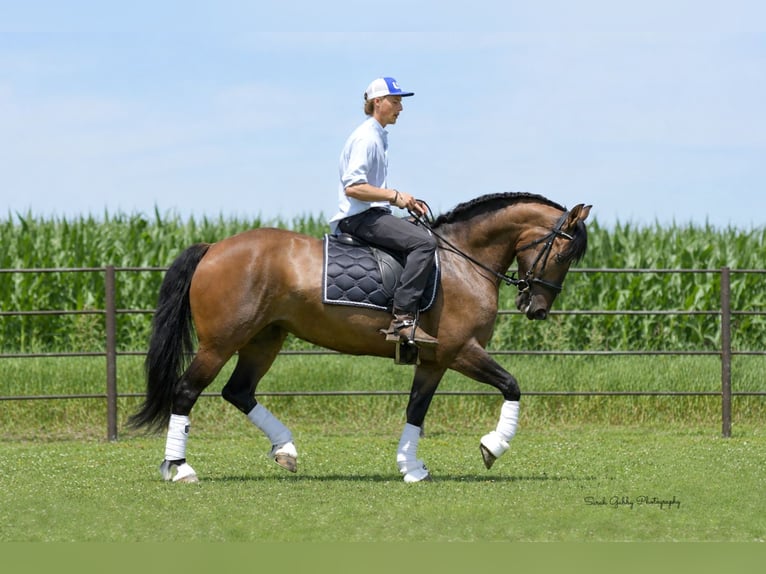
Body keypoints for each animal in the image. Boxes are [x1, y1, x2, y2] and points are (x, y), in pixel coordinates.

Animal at [128, 192, 591, 483]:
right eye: (563, 253)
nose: (536, 308)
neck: (462, 262)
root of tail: (213, 248)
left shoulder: (434, 360)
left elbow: (416, 410)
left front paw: (411, 468)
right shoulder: (461, 351)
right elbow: (512, 385)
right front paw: (493, 447)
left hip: (264, 339)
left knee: (238, 391)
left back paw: (285, 451)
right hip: (220, 343)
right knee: (186, 392)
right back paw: (180, 468)